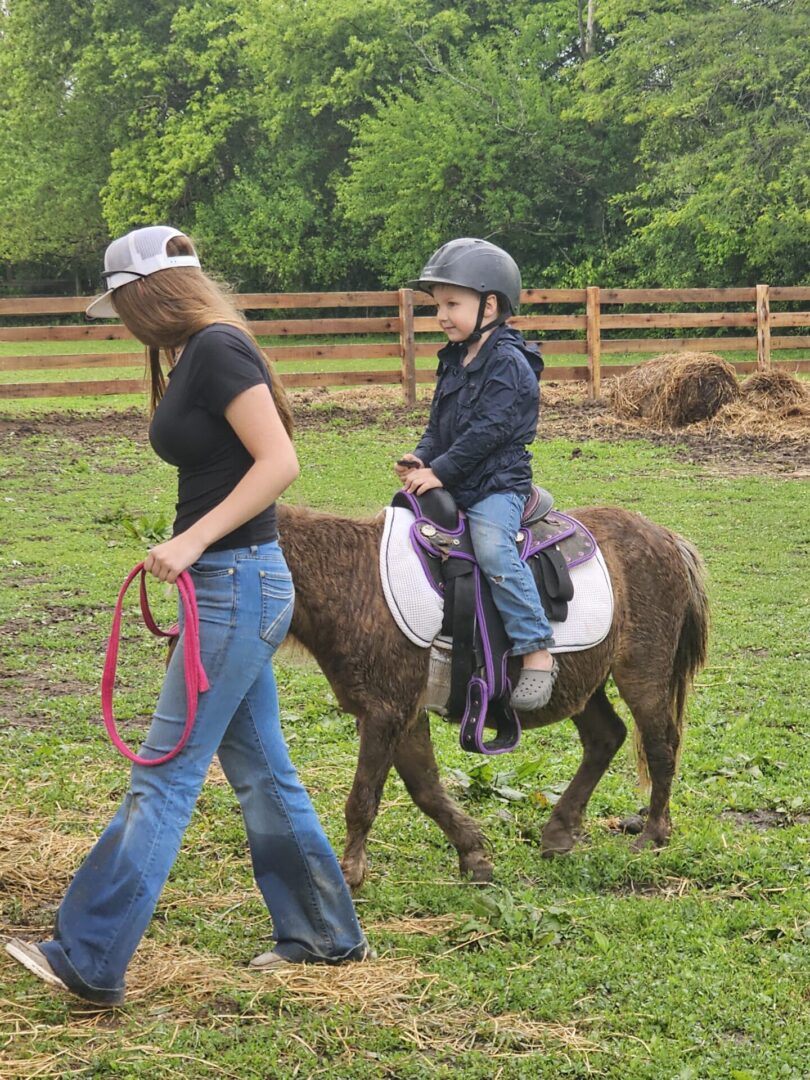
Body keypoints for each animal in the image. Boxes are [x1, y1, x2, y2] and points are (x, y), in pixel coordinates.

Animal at [274, 501, 708, 890]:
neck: (353, 582)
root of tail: (667, 538)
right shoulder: (400, 713)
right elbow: (425, 789)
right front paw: (474, 856)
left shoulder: (386, 712)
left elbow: (363, 799)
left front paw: (349, 876)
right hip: (582, 683)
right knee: (606, 737)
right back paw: (559, 832)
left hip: (643, 673)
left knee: (661, 746)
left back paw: (652, 834)